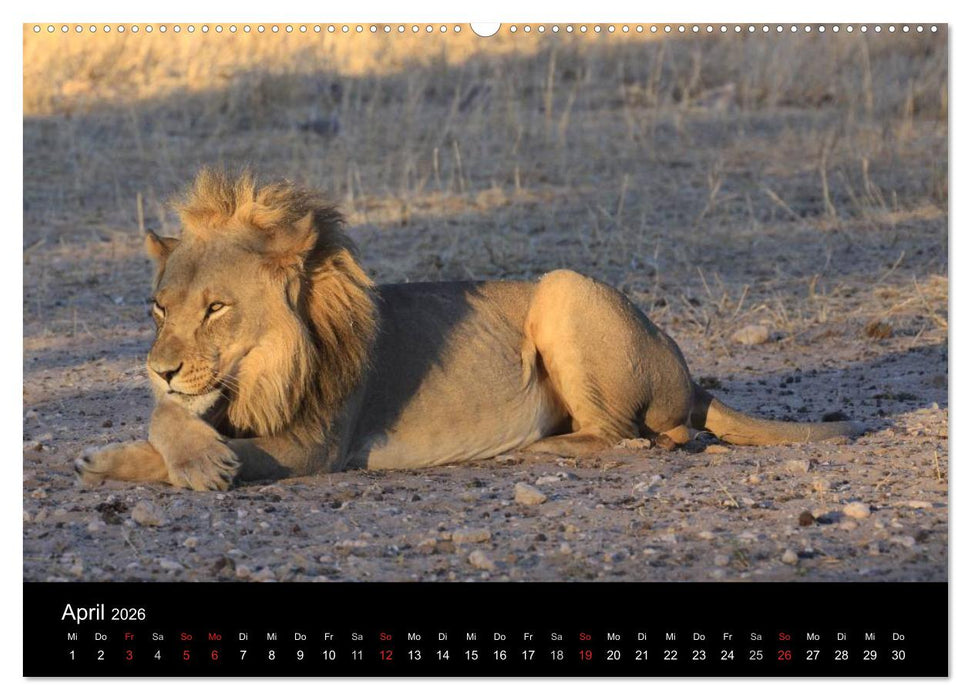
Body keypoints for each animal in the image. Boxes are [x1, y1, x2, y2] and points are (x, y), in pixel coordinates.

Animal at [76, 169, 864, 491]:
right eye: (158, 309)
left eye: (216, 308)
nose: (159, 367)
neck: (258, 372)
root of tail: (690, 375)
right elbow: (166, 419)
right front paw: (120, 450)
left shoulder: (311, 448)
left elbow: (209, 451)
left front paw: (173, 465)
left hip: (562, 289)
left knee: (639, 438)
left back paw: (532, 447)